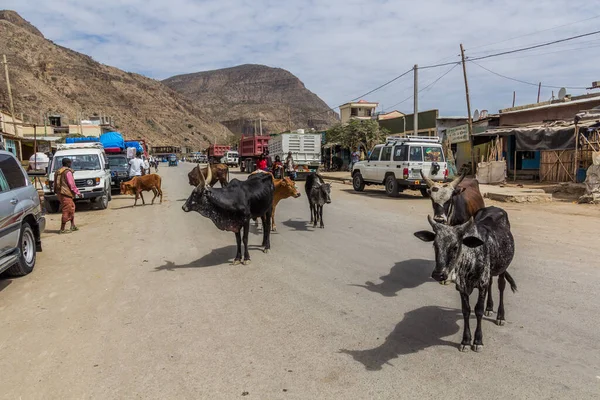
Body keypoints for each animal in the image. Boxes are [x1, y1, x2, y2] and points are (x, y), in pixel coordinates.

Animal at [414, 208, 516, 352]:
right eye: (435, 245)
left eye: (455, 246)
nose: (438, 274)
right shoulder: (462, 287)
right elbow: (466, 311)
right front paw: (466, 340)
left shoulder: (482, 284)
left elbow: (478, 310)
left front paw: (478, 341)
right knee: (491, 283)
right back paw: (489, 308)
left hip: (502, 267)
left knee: (501, 286)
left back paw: (500, 316)